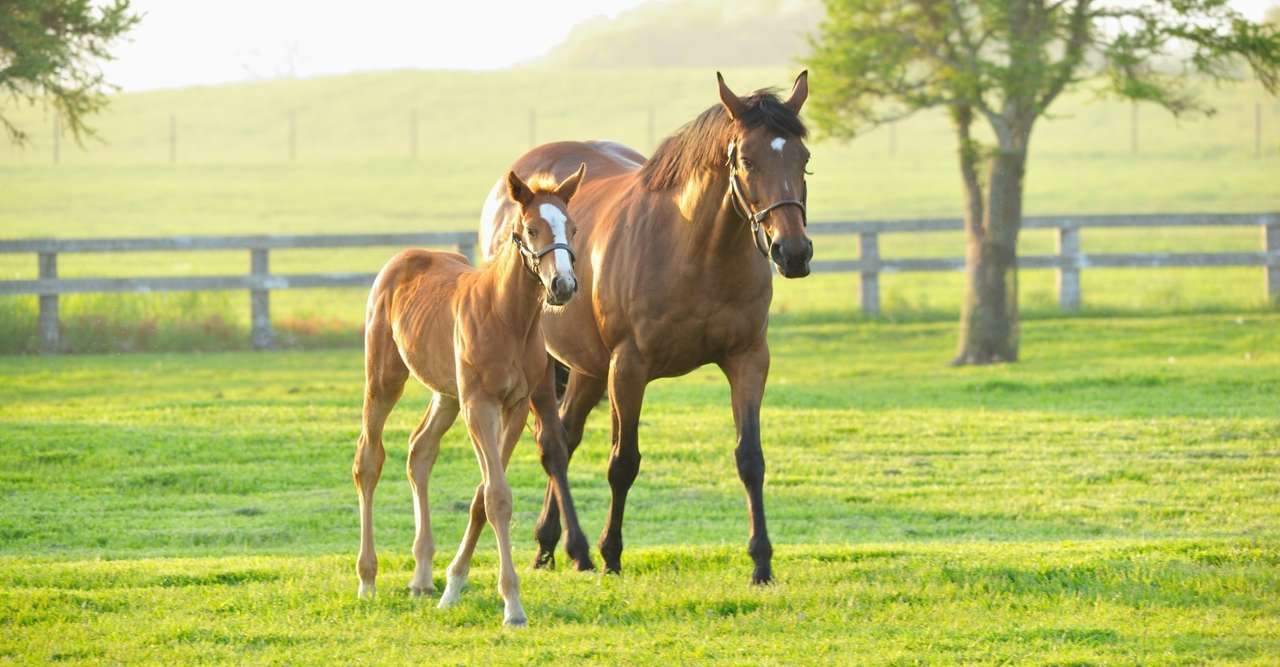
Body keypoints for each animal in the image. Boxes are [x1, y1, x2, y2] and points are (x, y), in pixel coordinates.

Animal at [355, 162, 593, 624]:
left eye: (572, 227)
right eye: (531, 228)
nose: (563, 285)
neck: (507, 317)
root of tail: (403, 258)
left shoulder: (515, 406)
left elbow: (484, 495)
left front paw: (454, 585)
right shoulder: (479, 405)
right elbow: (497, 495)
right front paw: (513, 606)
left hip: (447, 394)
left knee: (420, 450)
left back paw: (422, 577)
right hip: (385, 377)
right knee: (369, 459)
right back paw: (368, 579)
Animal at [481, 72, 808, 583]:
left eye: (803, 158)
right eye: (747, 161)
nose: (793, 252)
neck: (692, 250)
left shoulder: (749, 359)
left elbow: (750, 458)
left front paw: (761, 561)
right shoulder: (629, 368)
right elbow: (623, 462)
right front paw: (611, 553)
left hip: (588, 368)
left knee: (567, 436)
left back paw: (550, 544)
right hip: (552, 363)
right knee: (552, 445)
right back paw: (574, 548)